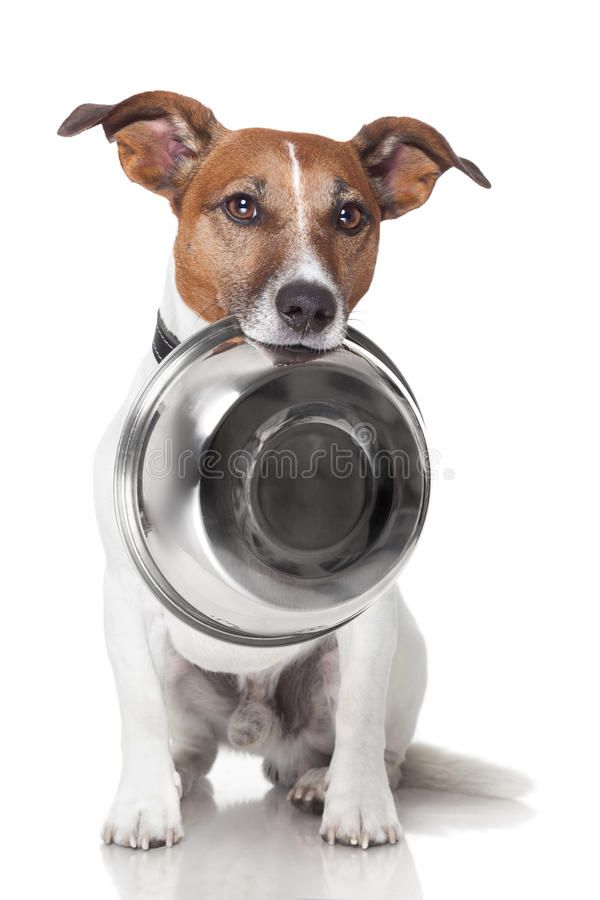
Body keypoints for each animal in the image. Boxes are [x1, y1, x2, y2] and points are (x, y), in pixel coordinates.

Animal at [56, 91, 490, 852]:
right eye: (242, 206)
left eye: (350, 216)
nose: (310, 304)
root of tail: (255, 729)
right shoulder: (123, 598)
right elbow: (138, 708)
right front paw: (143, 805)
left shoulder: (372, 618)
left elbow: (361, 715)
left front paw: (358, 806)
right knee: (188, 747)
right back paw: (177, 777)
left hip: (402, 647)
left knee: (381, 746)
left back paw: (323, 781)